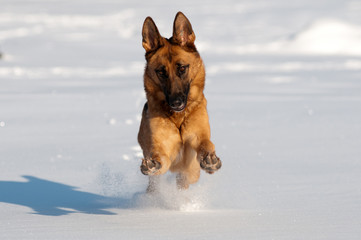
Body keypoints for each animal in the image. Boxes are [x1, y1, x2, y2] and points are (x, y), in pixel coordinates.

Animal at [138, 11, 221, 191]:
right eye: (161, 72)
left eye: (182, 68)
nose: (176, 103)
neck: (178, 118)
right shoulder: (162, 149)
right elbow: (159, 159)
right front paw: (152, 164)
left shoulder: (198, 138)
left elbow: (206, 144)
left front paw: (210, 159)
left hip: (190, 173)